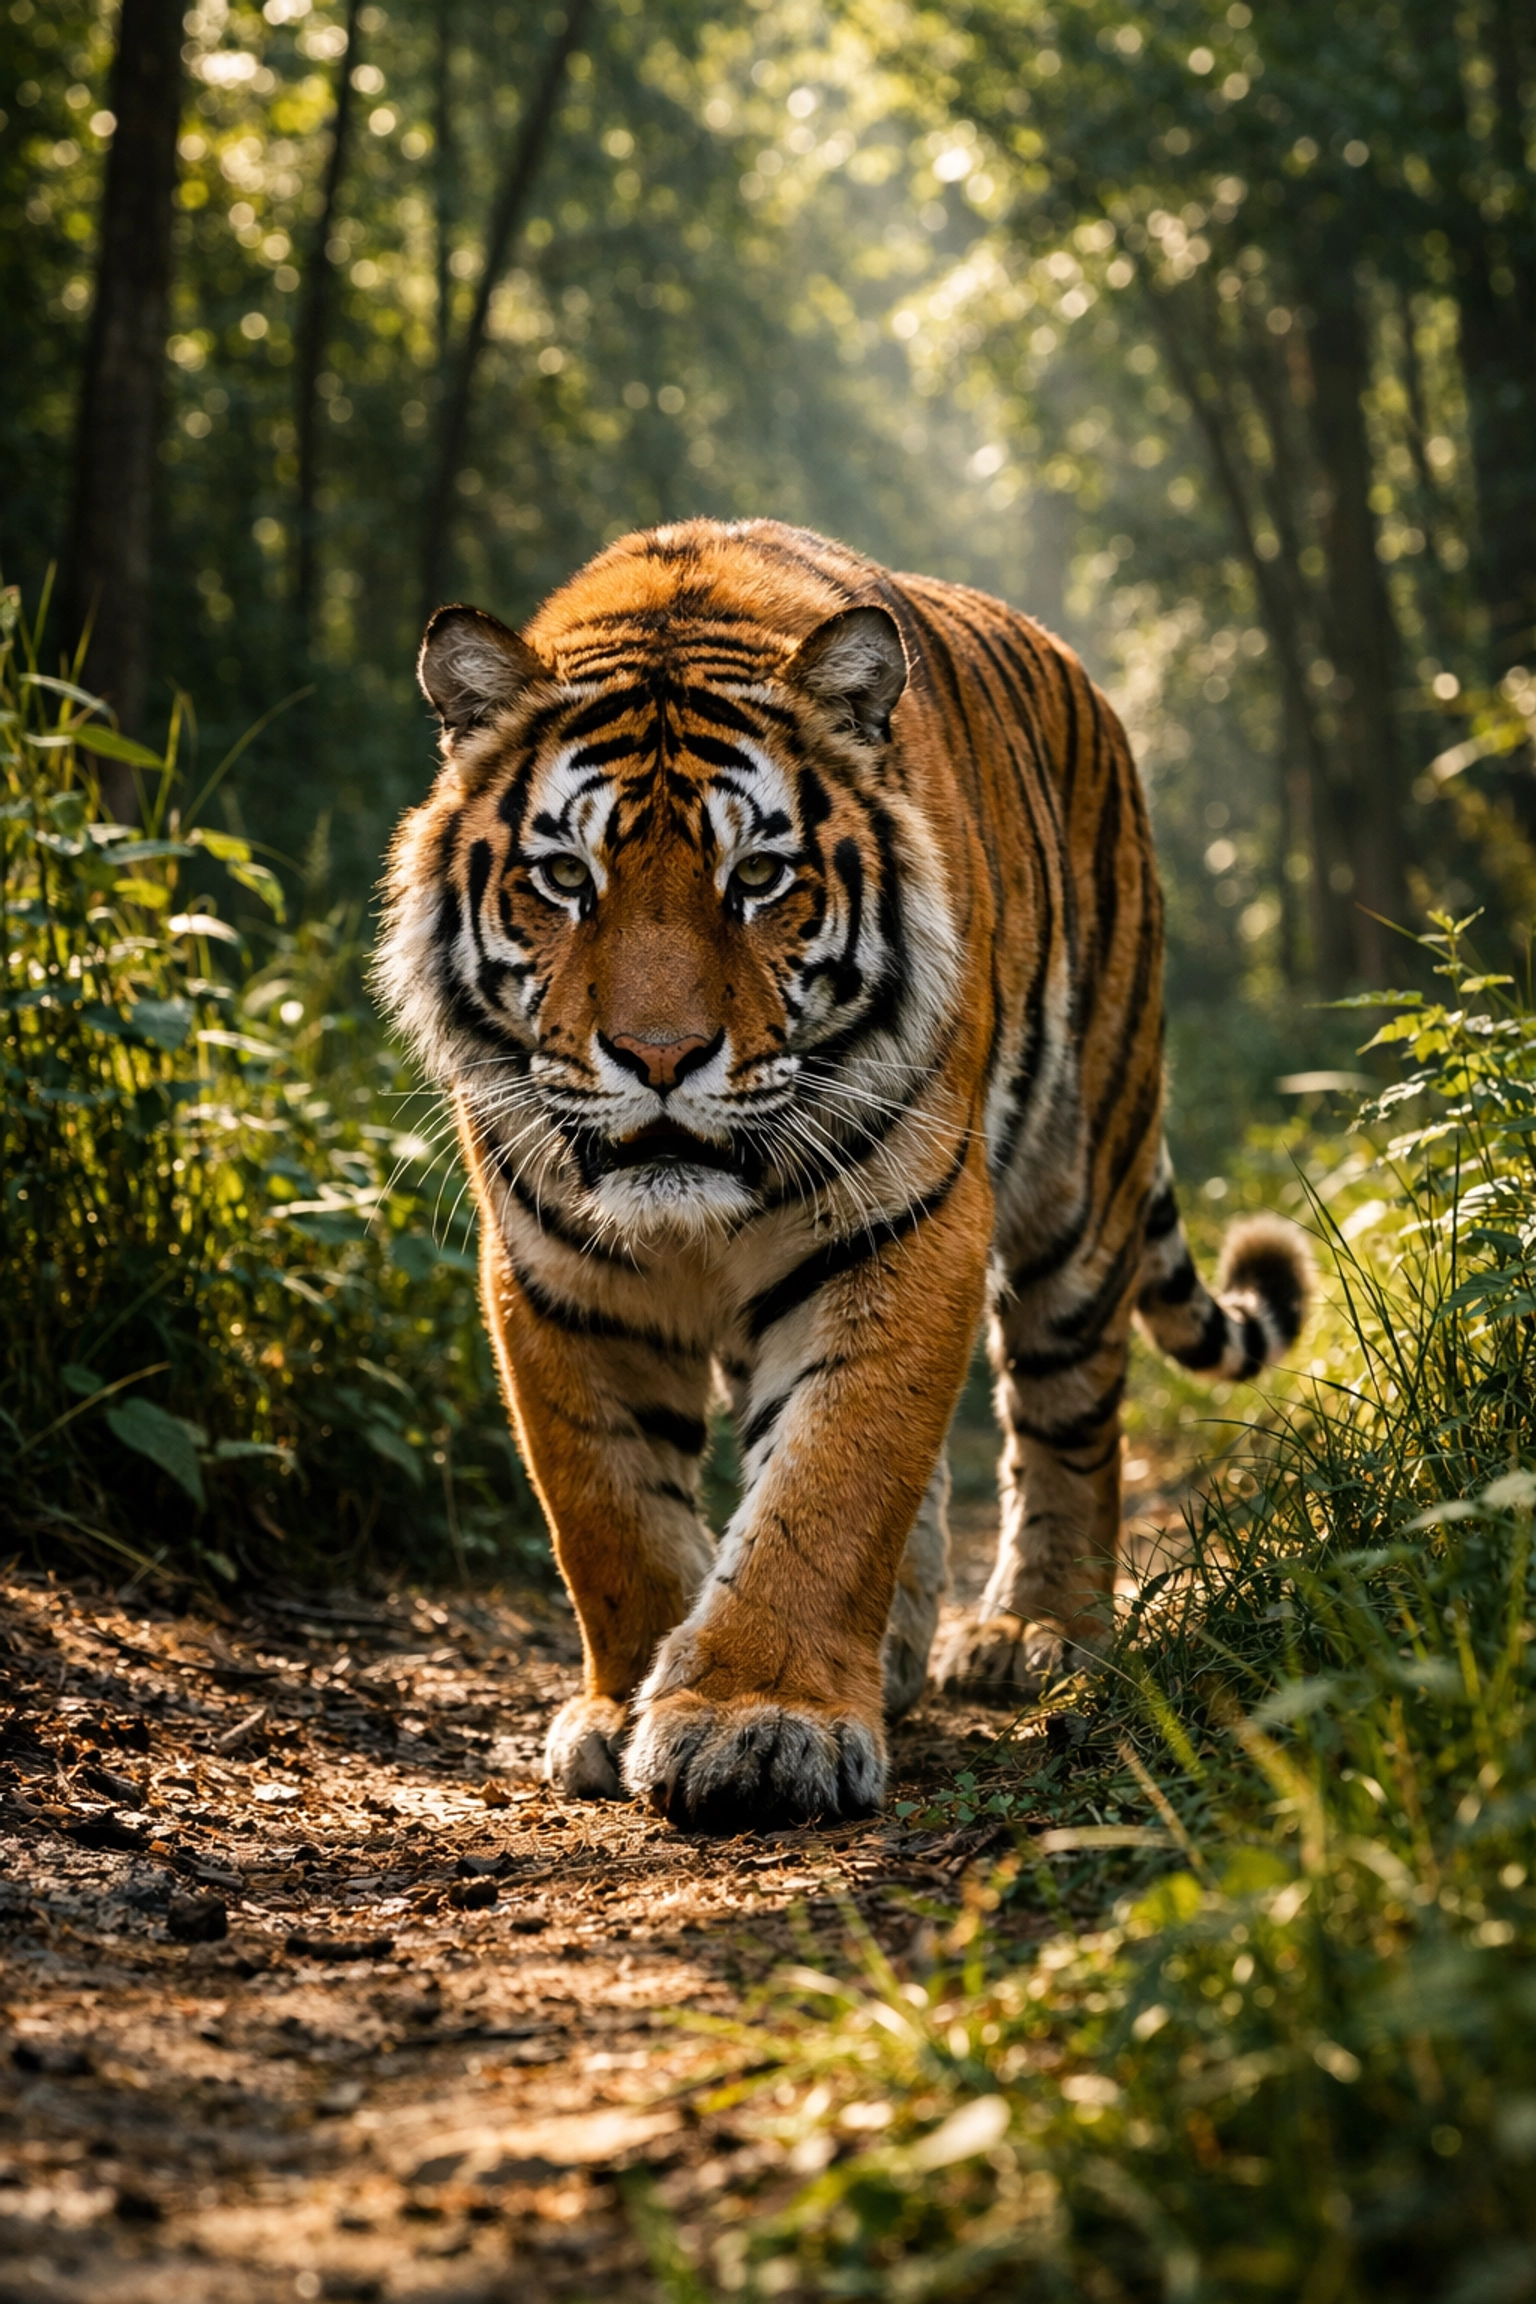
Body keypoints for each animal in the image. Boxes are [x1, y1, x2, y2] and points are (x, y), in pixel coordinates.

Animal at [376, 518, 1311, 1833]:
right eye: (565, 880)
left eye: (757, 879)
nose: (659, 1057)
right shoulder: (557, 1270)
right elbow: (609, 1511)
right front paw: (623, 1706)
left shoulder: (903, 1224)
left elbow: (830, 1482)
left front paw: (758, 1721)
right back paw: (905, 1656)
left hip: (1082, 1181)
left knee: (1070, 1417)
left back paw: (1037, 1633)